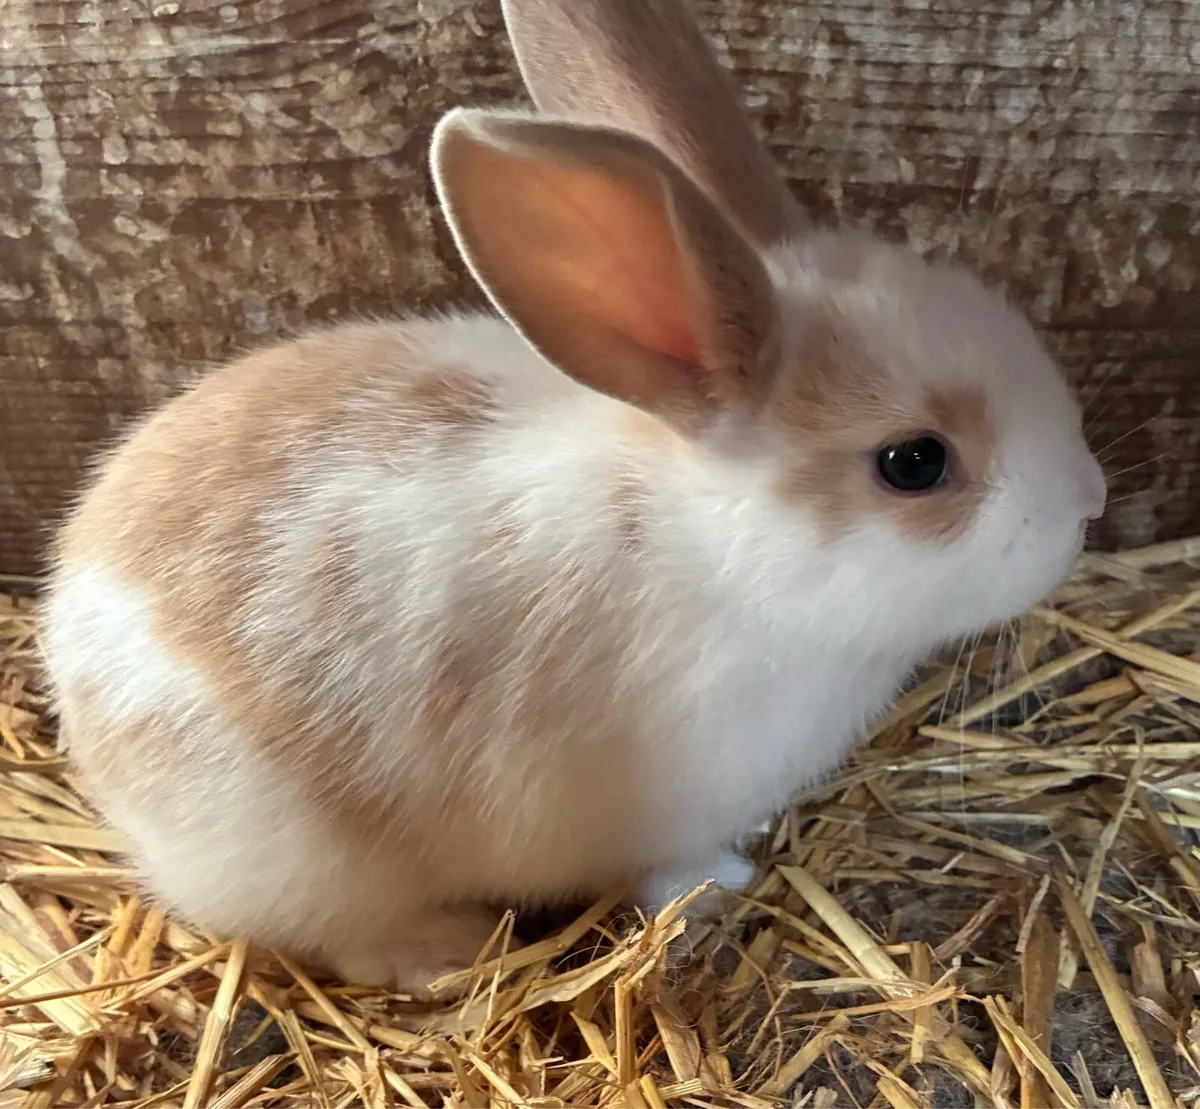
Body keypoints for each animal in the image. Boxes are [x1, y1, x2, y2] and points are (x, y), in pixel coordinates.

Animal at [42, 0, 1106, 997]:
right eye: (915, 462)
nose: (1088, 502)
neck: (712, 546)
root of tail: (72, 616)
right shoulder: (672, 802)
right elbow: (674, 869)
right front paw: (722, 888)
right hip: (294, 852)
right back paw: (443, 951)